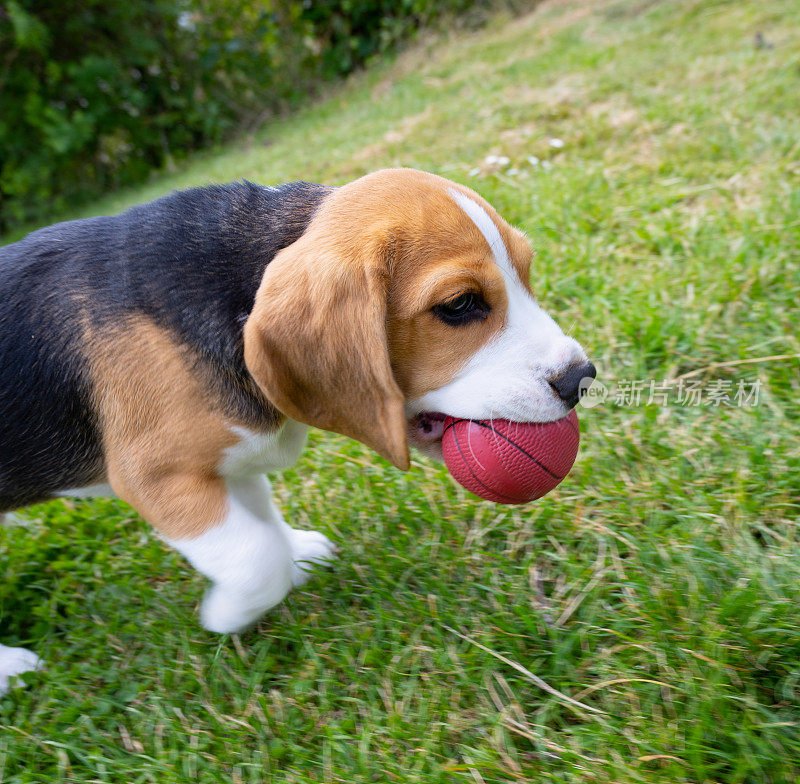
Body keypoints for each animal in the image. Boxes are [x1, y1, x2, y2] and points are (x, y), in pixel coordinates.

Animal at [0, 167, 588, 692]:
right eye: (460, 305)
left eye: (527, 274)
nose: (581, 377)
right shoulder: (155, 475)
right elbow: (255, 559)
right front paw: (226, 613)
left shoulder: (231, 460)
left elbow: (259, 518)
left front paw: (297, 551)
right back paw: (11, 670)